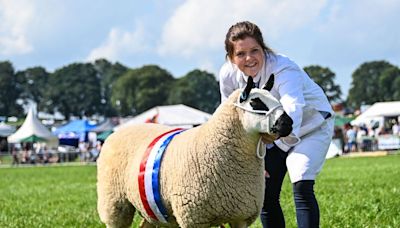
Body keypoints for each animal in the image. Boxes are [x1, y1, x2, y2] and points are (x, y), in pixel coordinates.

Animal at [95, 78, 292, 226]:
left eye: (277, 99)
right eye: (255, 102)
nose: (288, 123)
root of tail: (117, 131)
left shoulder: (240, 217)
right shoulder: (193, 216)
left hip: (154, 211)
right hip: (114, 203)